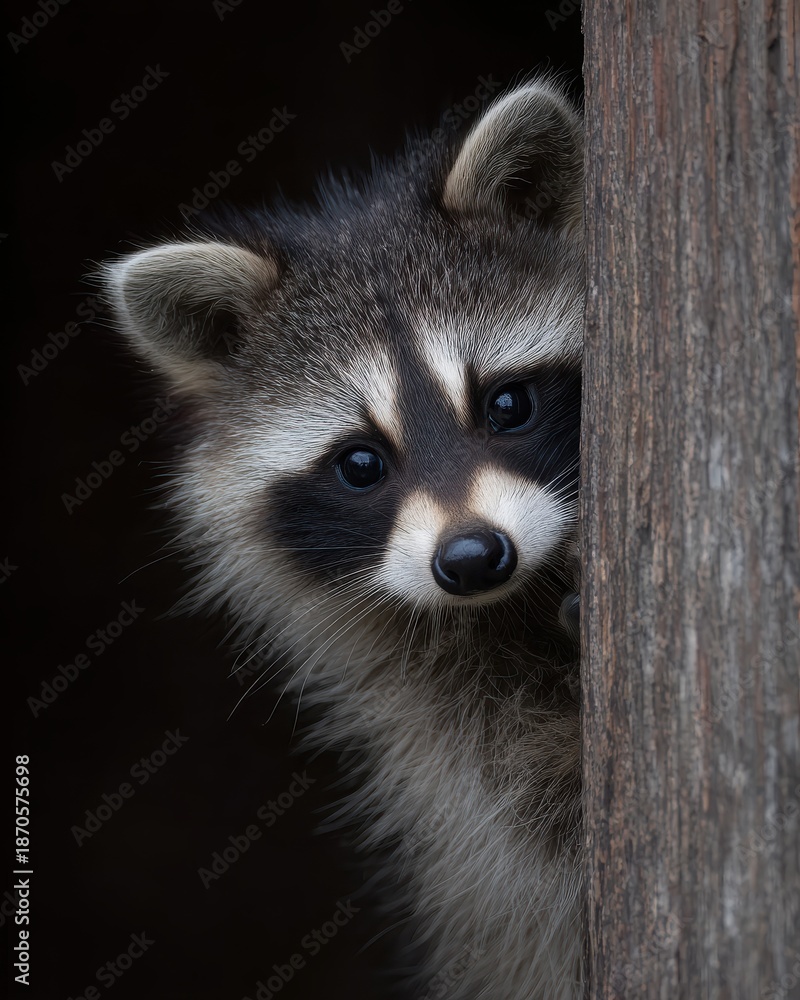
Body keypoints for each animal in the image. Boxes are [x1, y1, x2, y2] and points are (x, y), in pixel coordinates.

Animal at [102, 79, 584, 999]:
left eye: (507, 403)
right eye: (361, 462)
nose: (473, 557)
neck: (510, 607)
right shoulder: (444, 733)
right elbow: (525, 815)